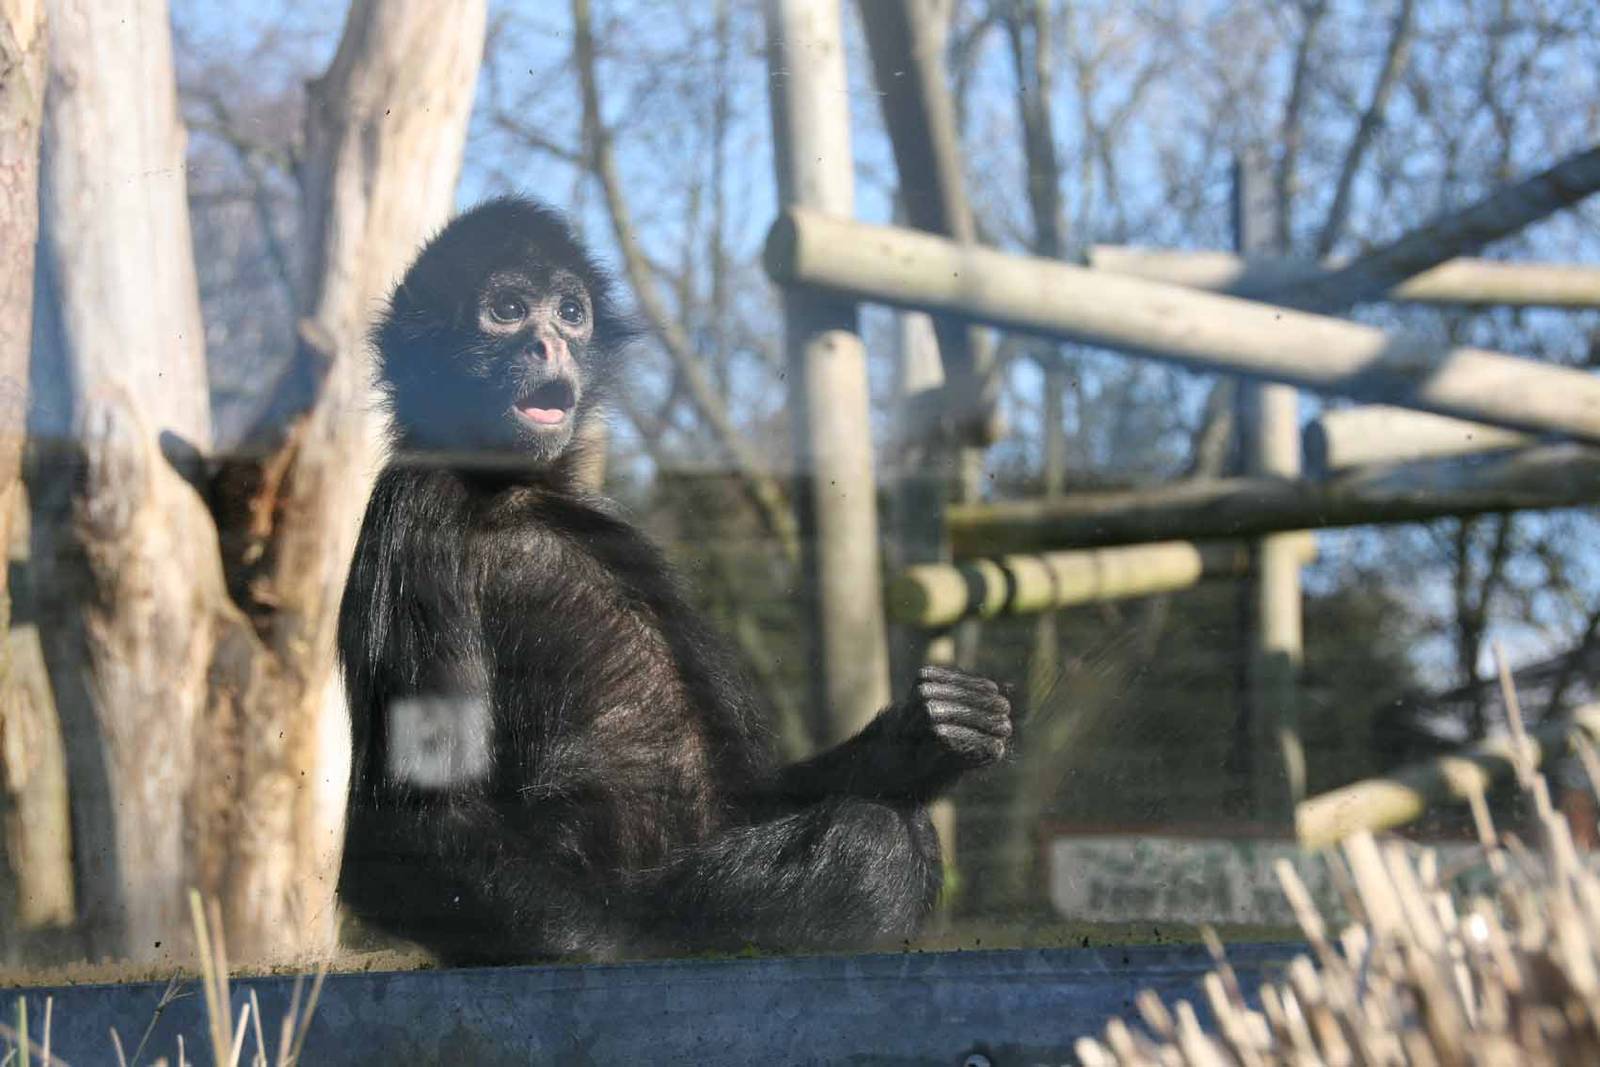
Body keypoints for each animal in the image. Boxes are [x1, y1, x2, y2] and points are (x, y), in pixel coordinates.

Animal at [336, 196, 1015, 965]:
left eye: (570, 312)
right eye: (506, 310)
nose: (548, 344)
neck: (512, 490)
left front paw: (923, 735)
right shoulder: (414, 509)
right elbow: (399, 827)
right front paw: (627, 945)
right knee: (881, 841)